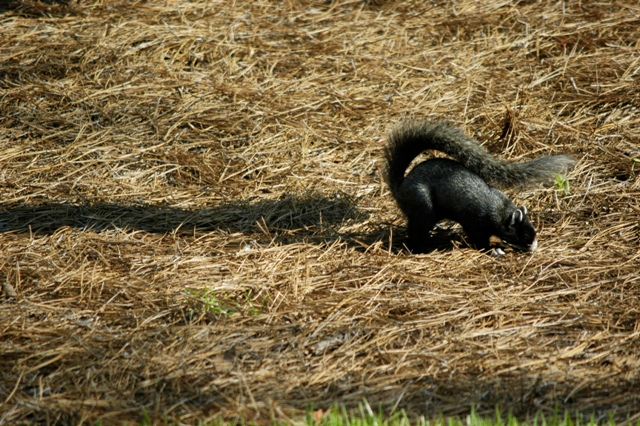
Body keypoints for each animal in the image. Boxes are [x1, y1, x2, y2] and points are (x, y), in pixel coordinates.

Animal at [384, 120, 574, 254]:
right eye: (524, 235)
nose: (533, 248)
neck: (500, 209)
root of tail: (400, 187)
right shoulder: (475, 220)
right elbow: (478, 238)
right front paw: (493, 249)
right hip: (423, 206)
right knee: (416, 230)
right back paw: (420, 247)